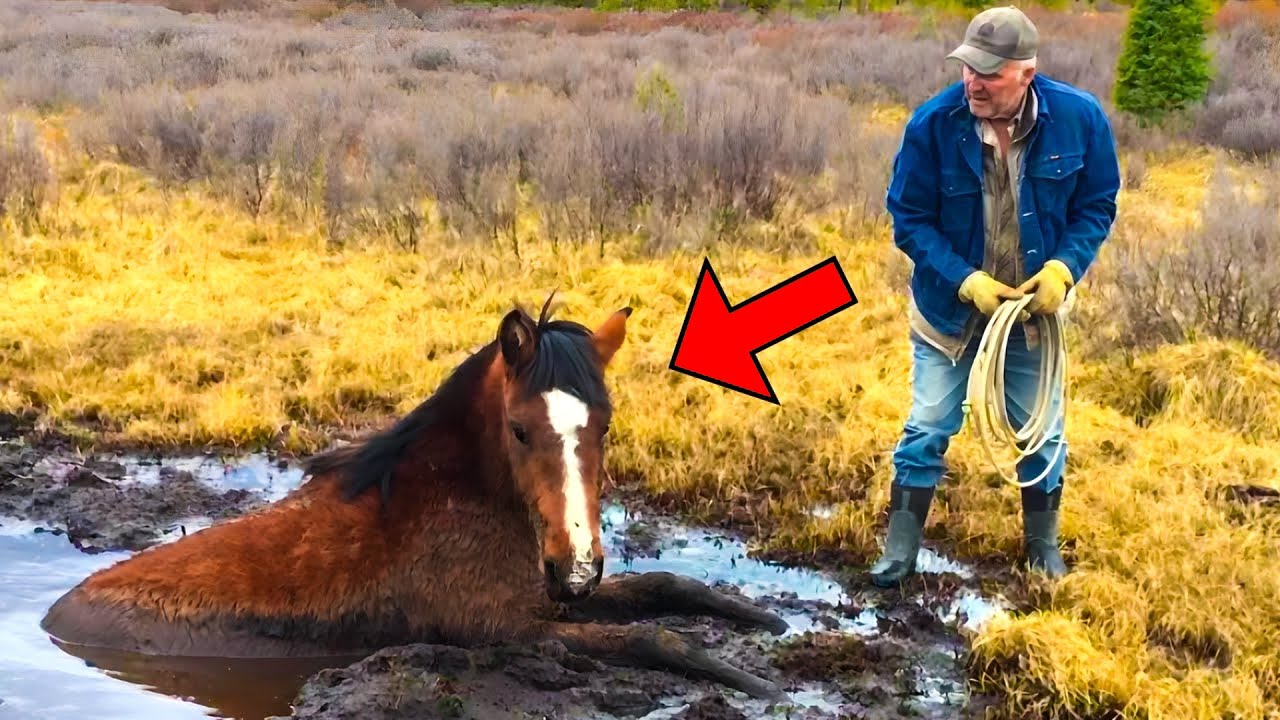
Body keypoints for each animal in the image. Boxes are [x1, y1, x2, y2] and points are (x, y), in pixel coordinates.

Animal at [40, 297, 790, 702]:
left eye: (603, 426)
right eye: (521, 429)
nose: (575, 569)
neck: (454, 497)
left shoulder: (545, 596)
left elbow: (667, 586)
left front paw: (764, 621)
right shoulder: (507, 626)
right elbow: (651, 635)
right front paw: (760, 684)